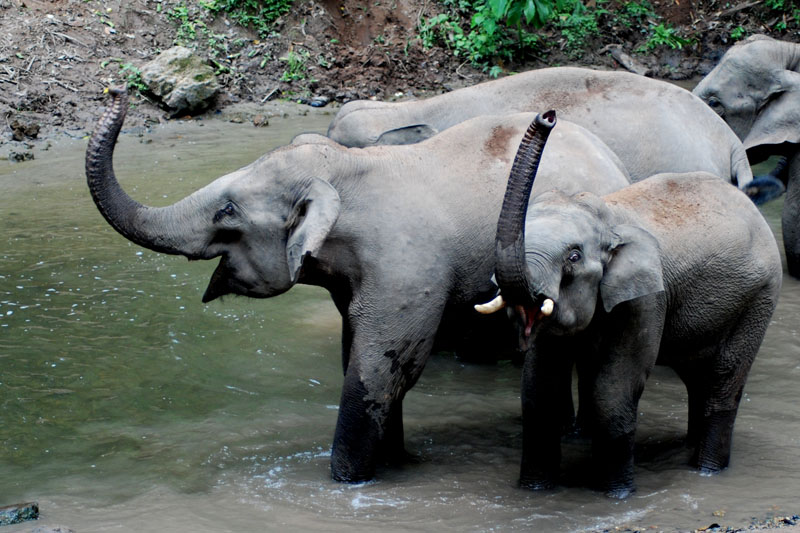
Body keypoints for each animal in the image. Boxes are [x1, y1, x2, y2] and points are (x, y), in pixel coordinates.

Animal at [87, 88, 632, 482]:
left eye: (227, 212)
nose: (118, 91)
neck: (349, 170)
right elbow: (357, 351)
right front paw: (394, 464)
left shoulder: (408, 271)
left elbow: (381, 366)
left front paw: (350, 483)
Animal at [478, 110, 784, 496]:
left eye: (573, 257)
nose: (548, 116)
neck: (605, 214)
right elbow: (539, 392)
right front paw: (534, 491)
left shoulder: (647, 298)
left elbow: (612, 394)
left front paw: (617, 495)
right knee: (697, 378)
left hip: (760, 298)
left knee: (722, 382)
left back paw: (707, 471)